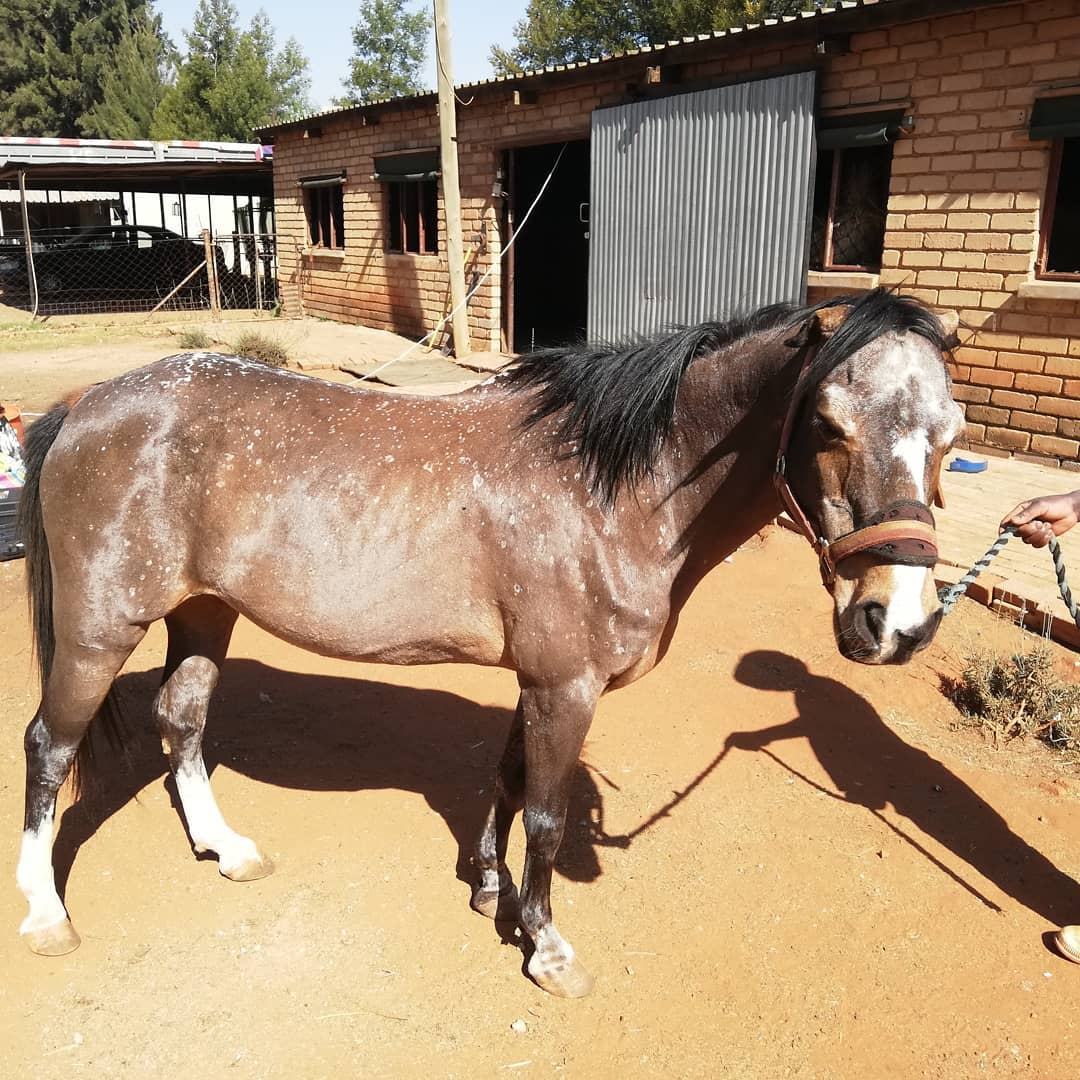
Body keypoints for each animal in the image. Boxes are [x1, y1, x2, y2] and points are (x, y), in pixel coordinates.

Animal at [16, 288, 963, 997]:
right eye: (829, 424)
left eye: (951, 436)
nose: (897, 622)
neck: (614, 489)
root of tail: (86, 404)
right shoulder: (565, 687)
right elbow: (544, 816)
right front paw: (545, 945)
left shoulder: (537, 682)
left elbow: (507, 781)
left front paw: (486, 886)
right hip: (100, 631)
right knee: (49, 747)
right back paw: (46, 914)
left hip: (205, 612)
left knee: (181, 721)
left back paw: (226, 850)